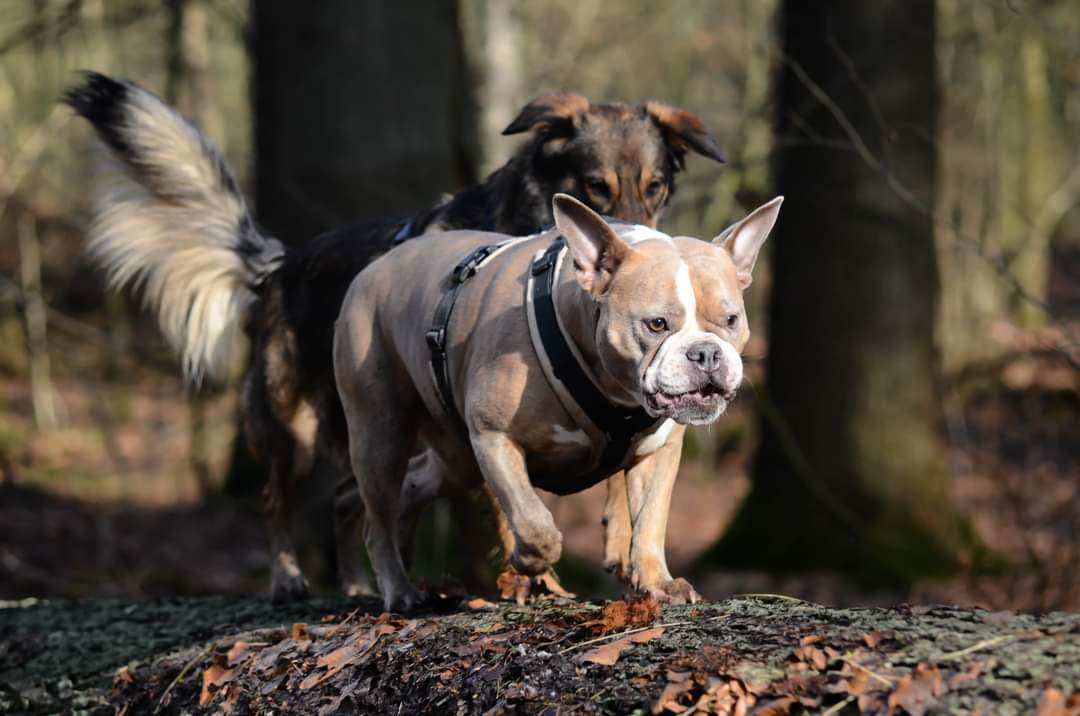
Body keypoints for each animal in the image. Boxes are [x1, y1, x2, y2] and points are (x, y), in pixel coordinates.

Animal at [65, 71, 725, 600]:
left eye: (656, 186)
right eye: (595, 187)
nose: (632, 245)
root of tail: (281, 264)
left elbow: (625, 467)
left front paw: (622, 547)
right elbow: (511, 510)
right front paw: (533, 579)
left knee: (348, 500)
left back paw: (361, 585)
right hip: (298, 423)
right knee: (280, 498)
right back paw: (289, 578)